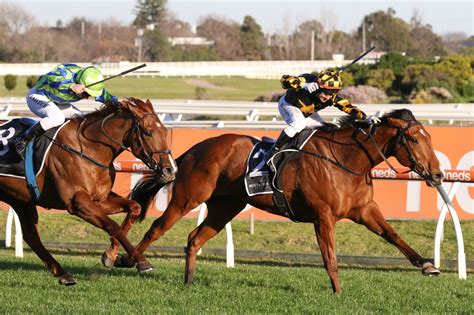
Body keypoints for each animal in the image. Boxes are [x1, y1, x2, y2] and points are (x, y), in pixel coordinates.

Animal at [0, 97, 177, 286]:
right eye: (148, 132)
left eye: (165, 131)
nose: (169, 169)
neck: (87, 147)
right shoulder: (78, 203)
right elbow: (112, 225)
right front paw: (141, 261)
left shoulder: (100, 199)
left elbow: (134, 208)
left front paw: (110, 255)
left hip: (20, 199)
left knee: (31, 235)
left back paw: (64, 274)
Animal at [119, 110, 444, 296]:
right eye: (415, 140)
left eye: (429, 138)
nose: (438, 174)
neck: (345, 160)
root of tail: (192, 149)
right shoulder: (323, 217)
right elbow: (330, 258)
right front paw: (338, 292)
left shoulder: (364, 210)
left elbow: (393, 235)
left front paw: (427, 264)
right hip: (188, 197)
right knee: (156, 229)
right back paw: (126, 260)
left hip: (225, 207)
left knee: (195, 237)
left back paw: (188, 281)